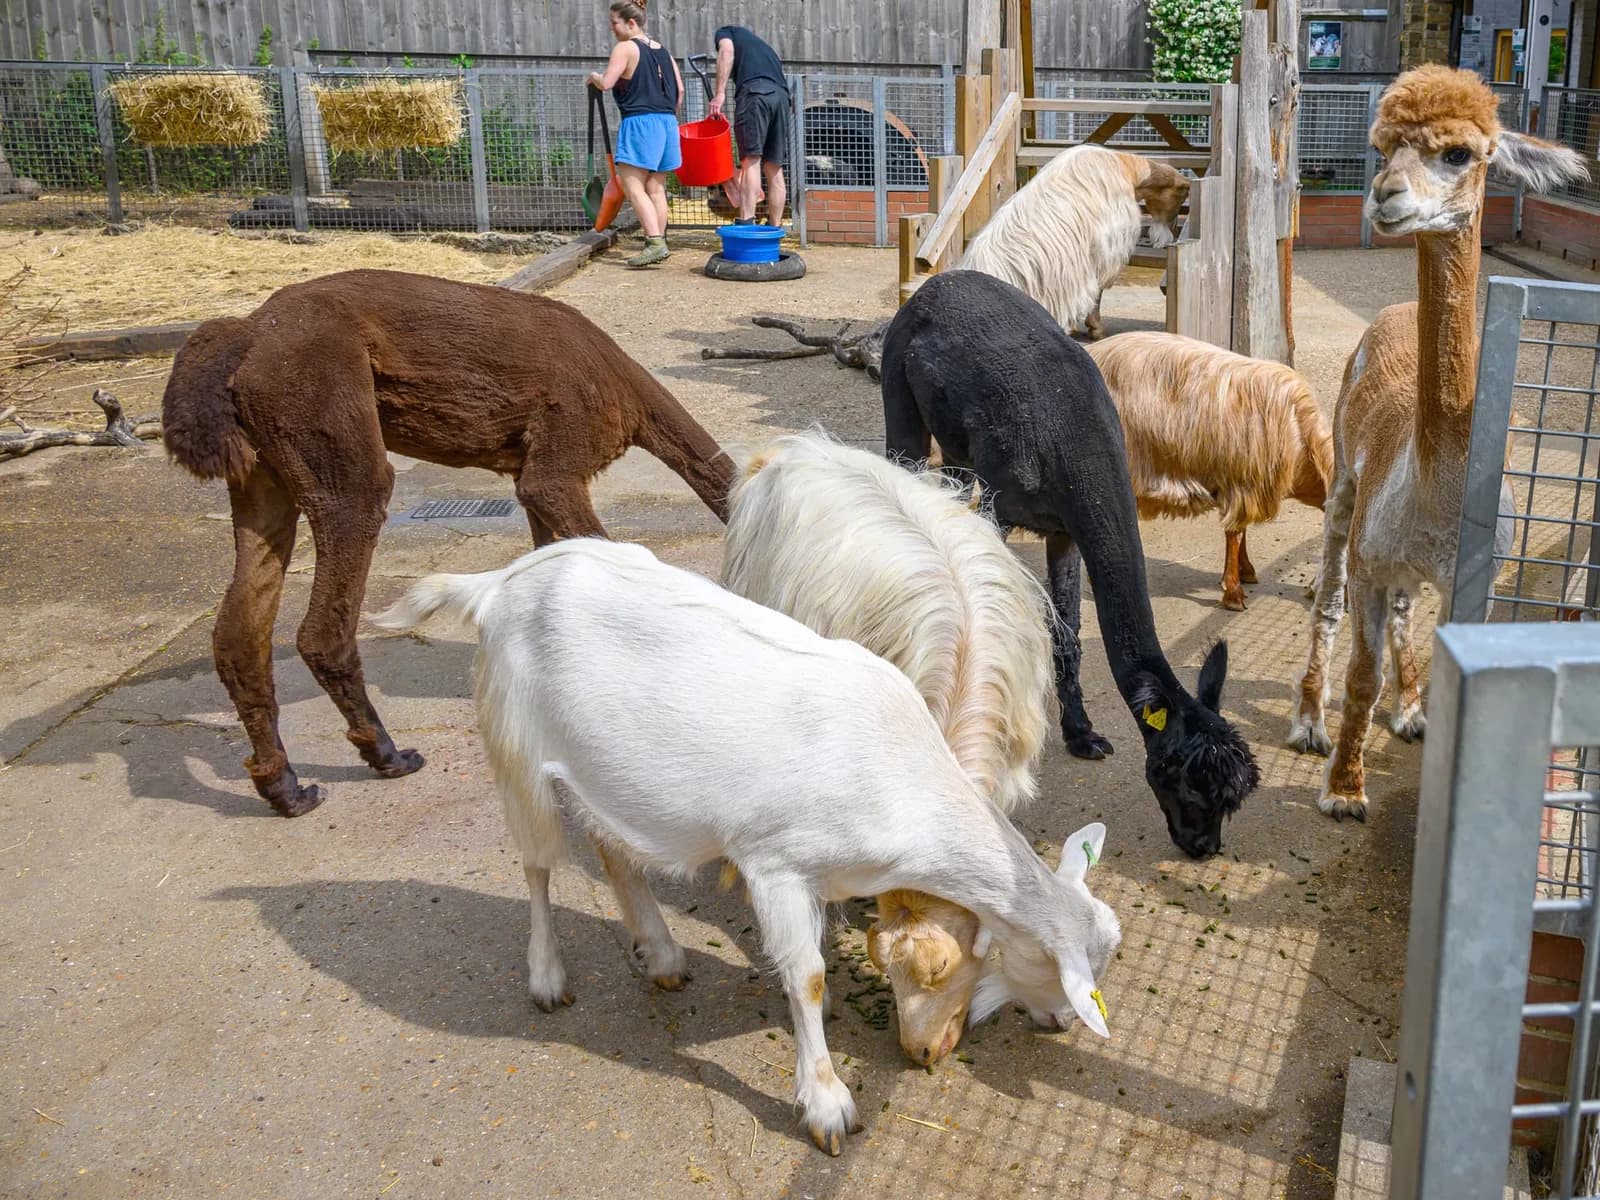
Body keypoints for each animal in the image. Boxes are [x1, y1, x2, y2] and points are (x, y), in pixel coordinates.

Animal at [161, 268, 733, 817]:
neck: (632, 400)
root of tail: (249, 331)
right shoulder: (556, 463)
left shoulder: (533, 479)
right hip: (323, 415)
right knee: (322, 628)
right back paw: (386, 755)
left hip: (263, 476)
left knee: (239, 638)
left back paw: (285, 789)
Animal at [372, 537, 1121, 1154]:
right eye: (1067, 972)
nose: (1062, 1019)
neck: (901, 776)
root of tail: (499, 583)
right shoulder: (774, 863)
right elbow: (806, 975)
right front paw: (825, 1104)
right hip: (514, 746)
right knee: (535, 864)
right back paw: (547, 976)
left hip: (608, 772)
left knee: (612, 848)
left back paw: (662, 953)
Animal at [882, 270, 1260, 859]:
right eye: (1180, 778)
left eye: (1231, 799)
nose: (1203, 846)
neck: (1074, 441)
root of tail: (930, 285)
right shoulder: (1002, 504)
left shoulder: (1068, 530)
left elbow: (1068, 633)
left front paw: (1082, 734)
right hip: (900, 393)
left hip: (960, 448)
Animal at [958, 144, 1190, 340]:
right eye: (1181, 198)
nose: (1171, 234)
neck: (1126, 169)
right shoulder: (1103, 252)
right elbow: (1097, 291)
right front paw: (1095, 328)